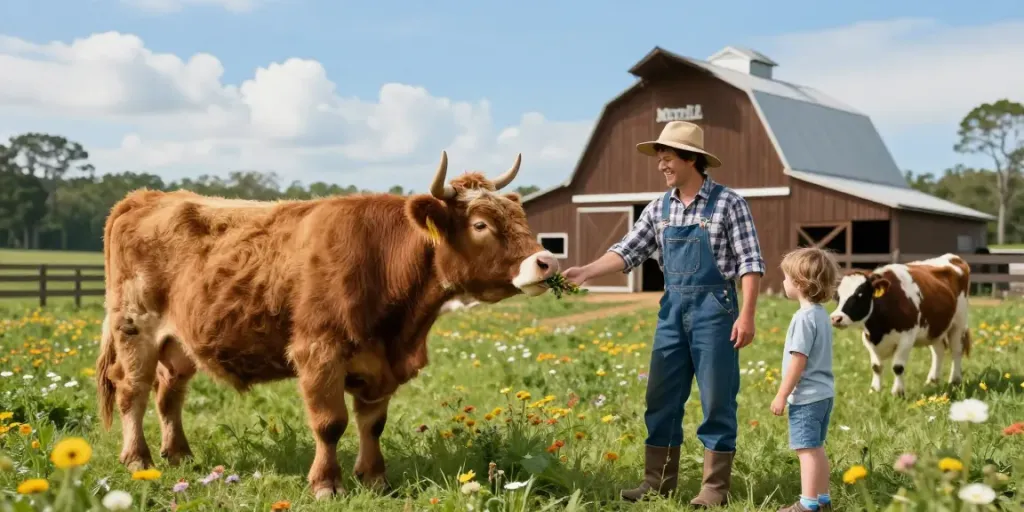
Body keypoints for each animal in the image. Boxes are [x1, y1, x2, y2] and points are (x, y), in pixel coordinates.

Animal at [94, 151, 559, 500]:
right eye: (481, 225)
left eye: (520, 219)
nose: (547, 261)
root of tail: (144, 197)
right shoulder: (319, 353)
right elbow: (330, 423)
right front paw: (326, 484)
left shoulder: (380, 363)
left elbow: (372, 424)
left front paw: (375, 479)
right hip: (134, 326)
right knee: (132, 390)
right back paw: (138, 459)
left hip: (178, 343)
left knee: (168, 393)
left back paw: (179, 455)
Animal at [829, 253, 971, 397]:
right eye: (837, 297)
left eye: (860, 295)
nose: (836, 318)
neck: (878, 330)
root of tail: (953, 257)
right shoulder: (868, 339)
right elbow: (876, 367)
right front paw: (874, 390)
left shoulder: (906, 338)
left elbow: (897, 367)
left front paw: (898, 393)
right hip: (934, 328)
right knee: (939, 351)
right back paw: (932, 380)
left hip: (958, 323)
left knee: (956, 350)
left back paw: (955, 381)